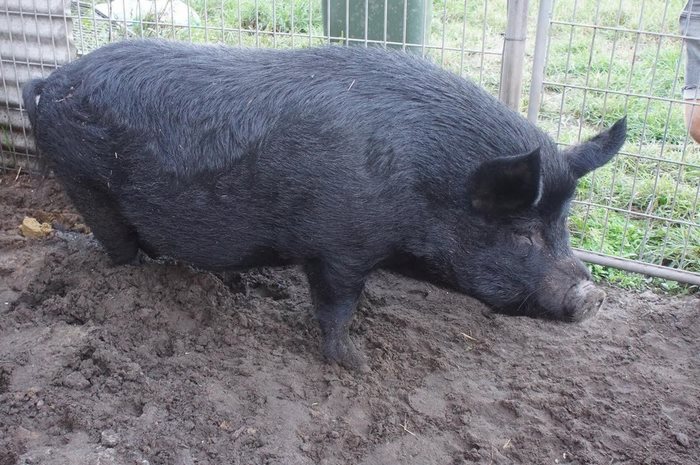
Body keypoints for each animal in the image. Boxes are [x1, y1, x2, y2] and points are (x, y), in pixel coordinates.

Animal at [23, 40, 626, 369]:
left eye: (564, 225)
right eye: (523, 233)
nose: (594, 295)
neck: (424, 184)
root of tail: (50, 80)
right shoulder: (338, 246)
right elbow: (336, 306)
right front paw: (358, 363)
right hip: (85, 181)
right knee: (117, 247)